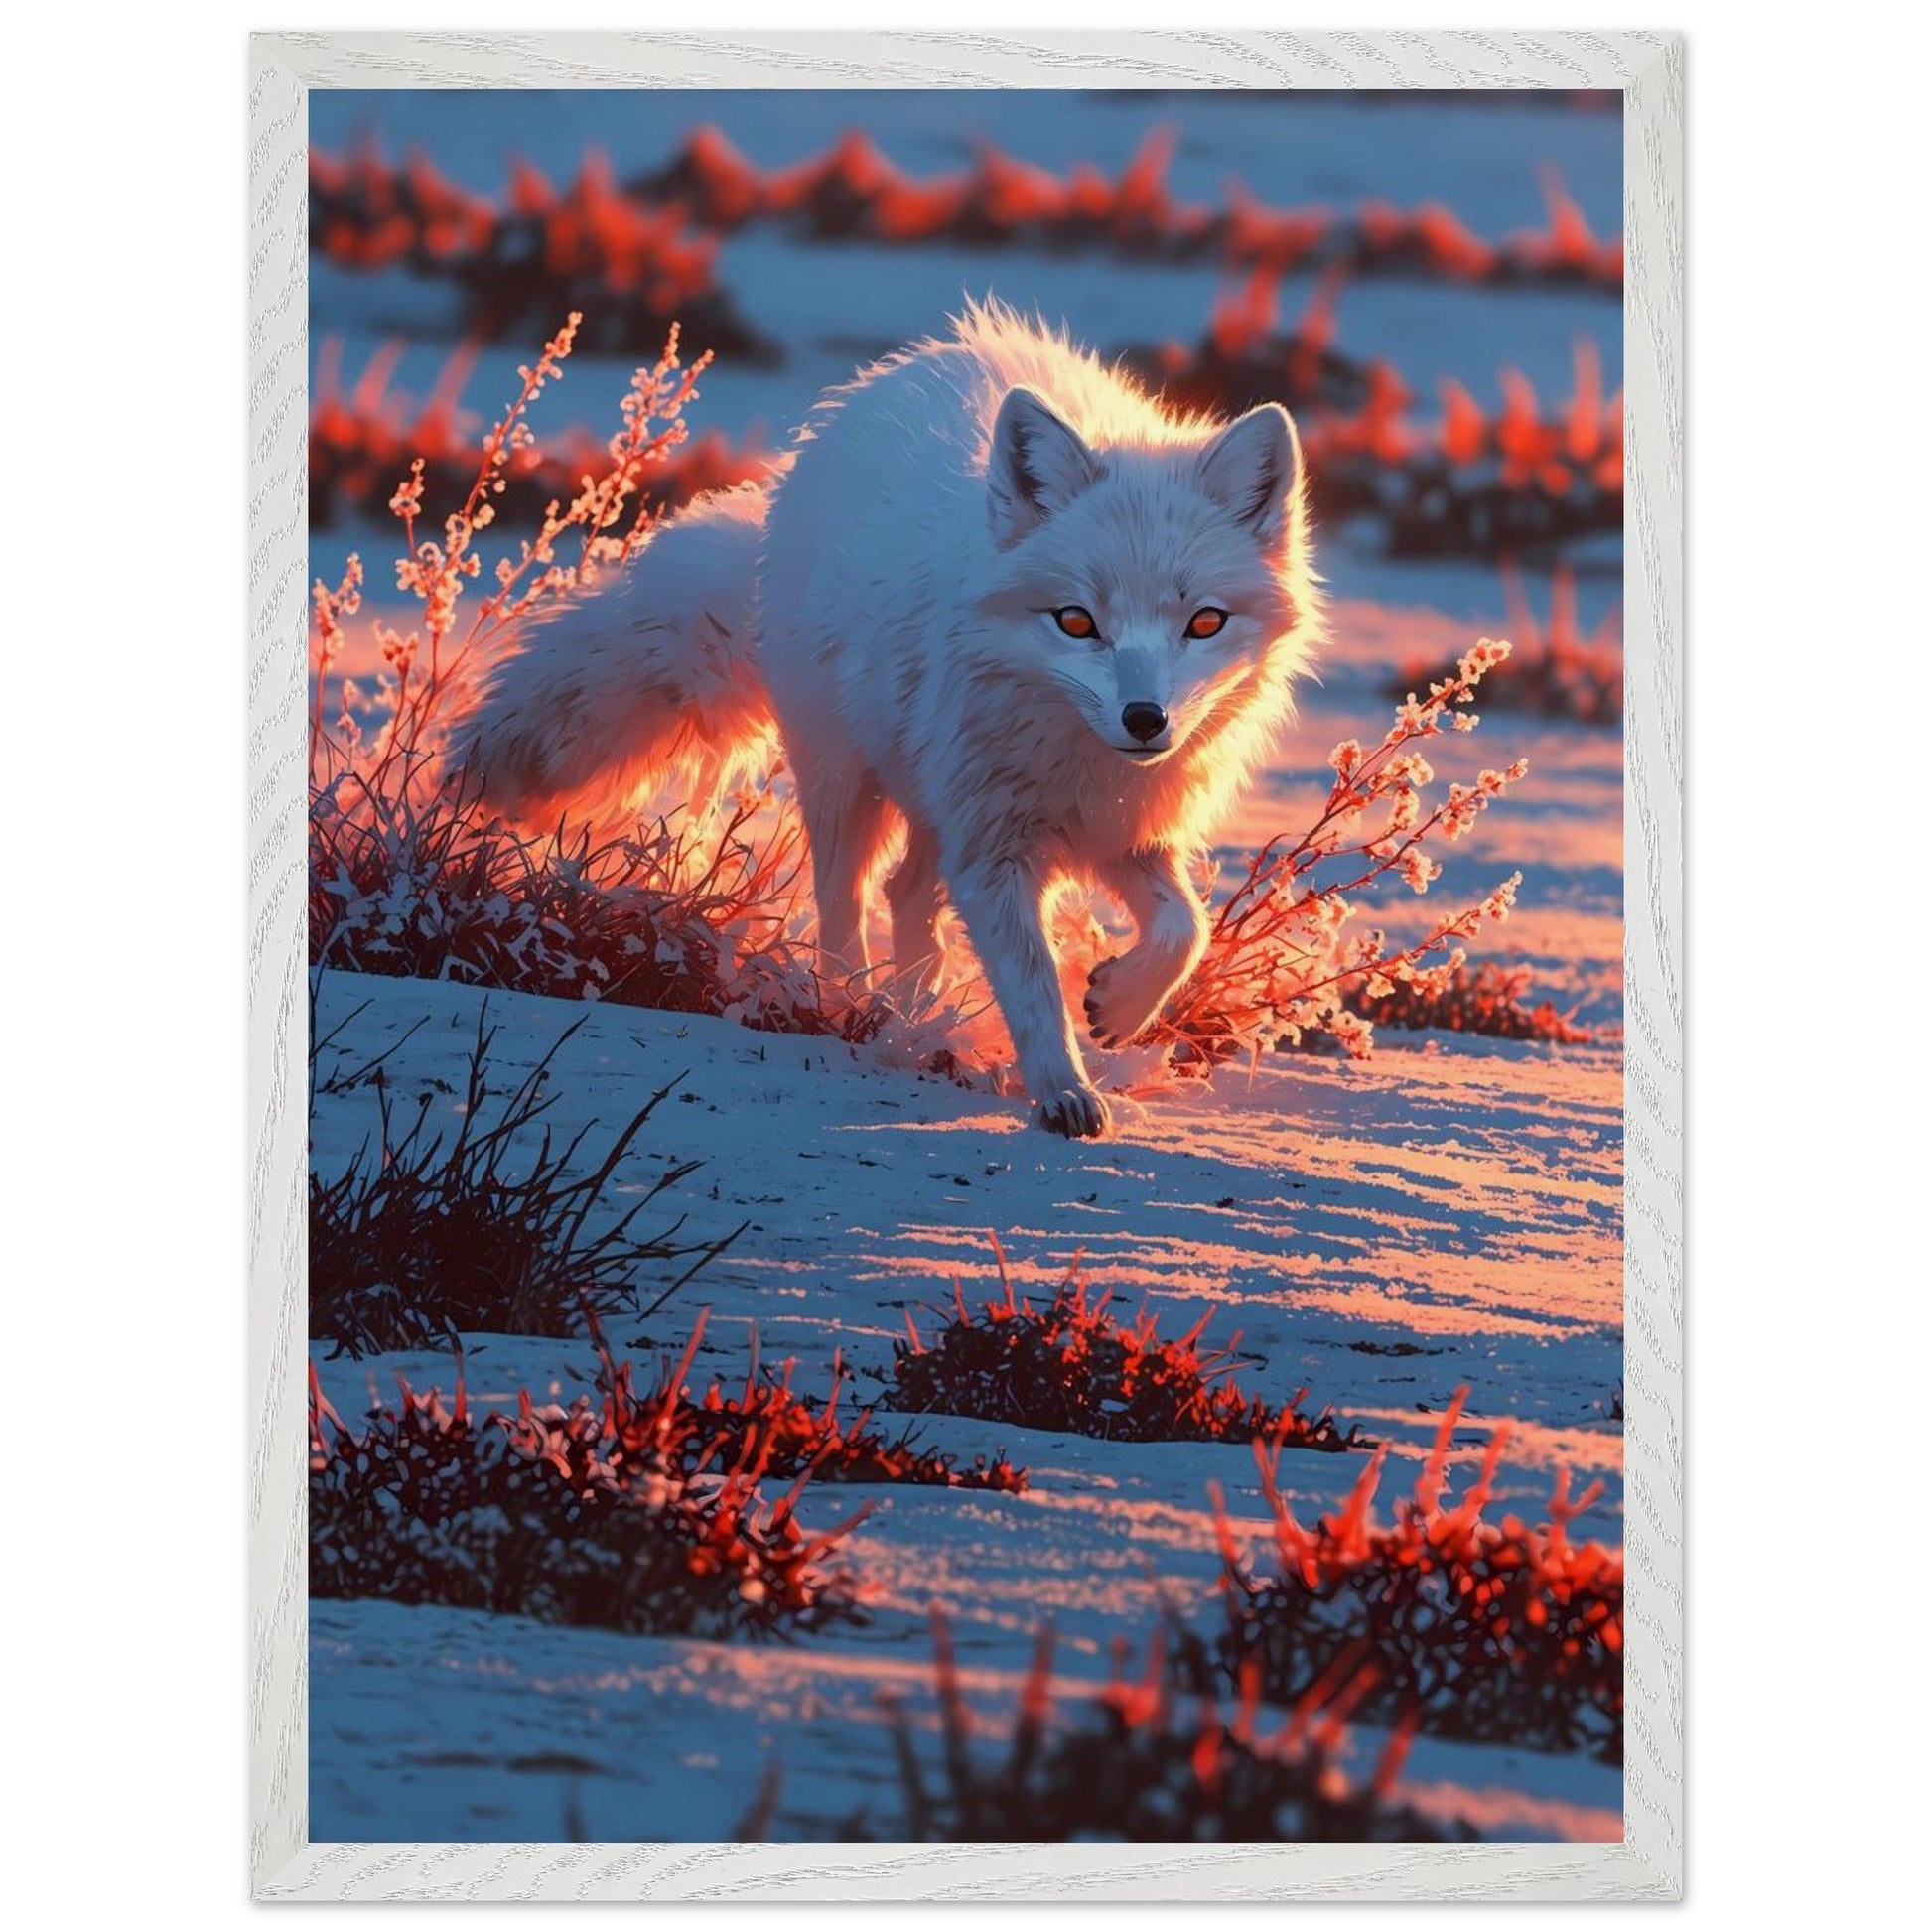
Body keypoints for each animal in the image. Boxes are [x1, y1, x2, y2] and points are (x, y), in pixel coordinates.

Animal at [460, 301, 1323, 1137]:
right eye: (1076, 622)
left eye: (1204, 623)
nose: (1145, 720)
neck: (1077, 757)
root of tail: (882, 385)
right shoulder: (994, 849)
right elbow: (1034, 985)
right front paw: (1062, 1092)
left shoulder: (1123, 829)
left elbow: (1186, 928)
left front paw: (1119, 1003)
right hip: (847, 782)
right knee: (845, 903)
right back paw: (853, 1009)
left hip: (931, 802)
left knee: (908, 898)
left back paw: (920, 1017)